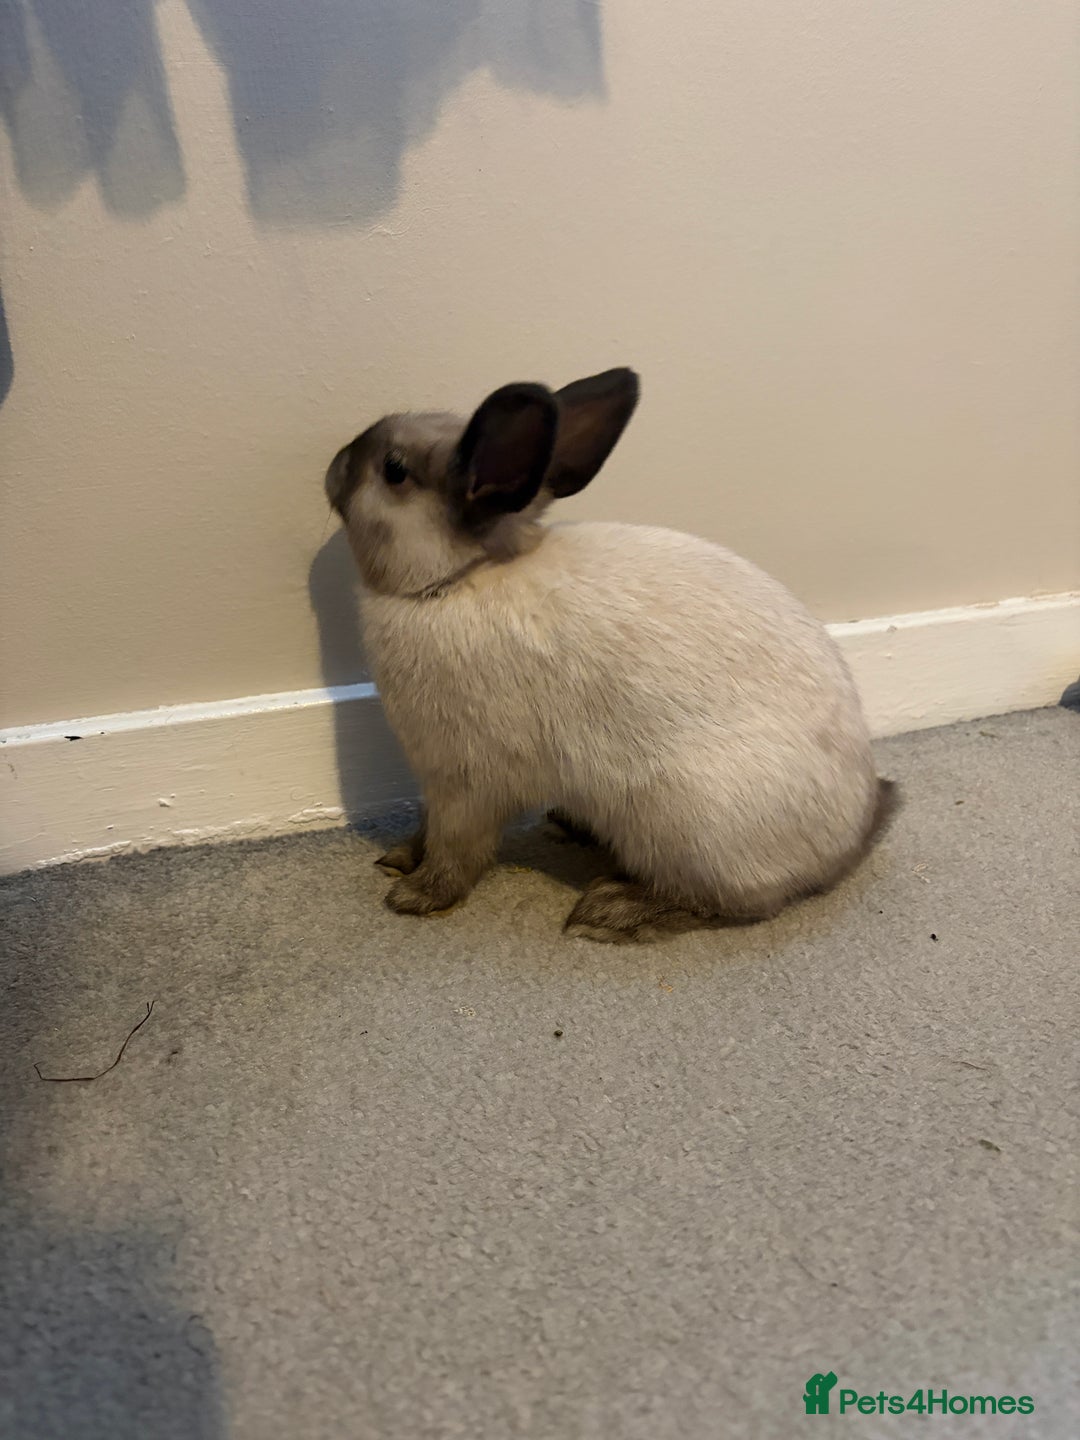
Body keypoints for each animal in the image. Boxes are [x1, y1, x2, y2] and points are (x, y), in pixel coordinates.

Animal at [325, 367, 896, 942]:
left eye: (394, 470)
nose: (333, 466)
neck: (453, 581)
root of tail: (847, 843)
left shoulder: (464, 782)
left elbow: (455, 849)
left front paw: (414, 895)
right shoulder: (439, 782)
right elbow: (426, 831)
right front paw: (398, 858)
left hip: (687, 821)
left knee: (731, 903)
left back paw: (609, 909)